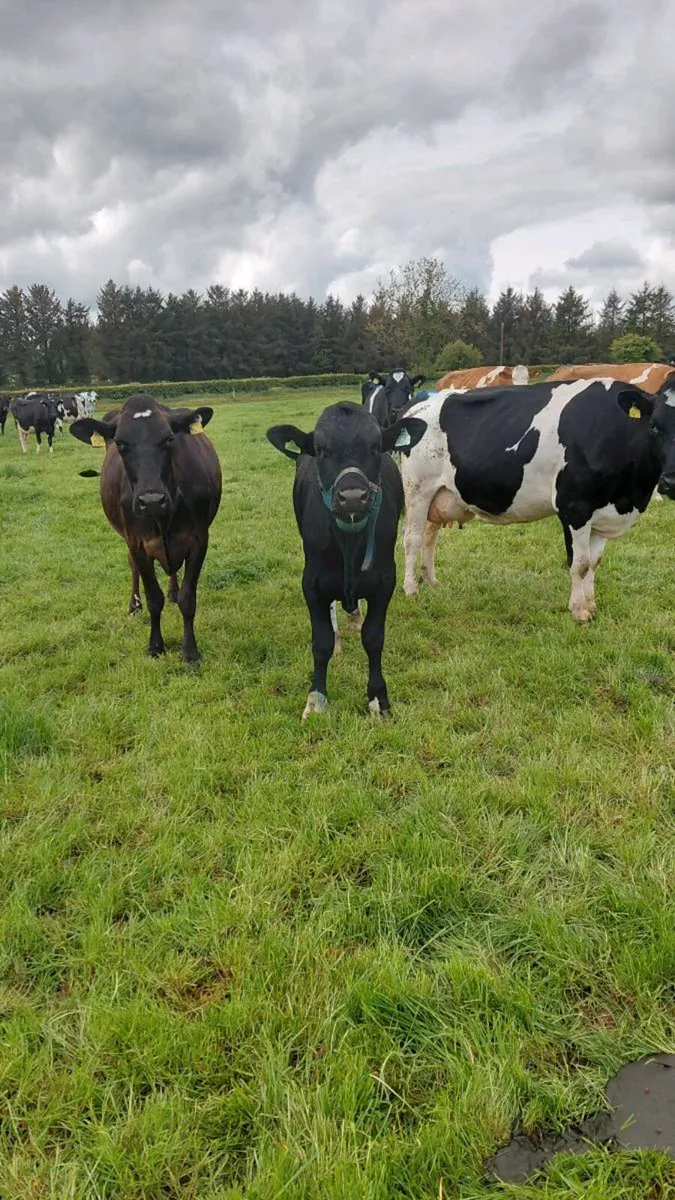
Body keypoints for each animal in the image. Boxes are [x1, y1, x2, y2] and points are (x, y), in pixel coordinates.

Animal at [70, 395, 222, 662]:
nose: (151, 500)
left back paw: (172, 593)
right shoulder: (137, 542)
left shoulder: (199, 539)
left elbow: (188, 598)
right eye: (120, 443)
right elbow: (153, 598)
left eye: (170, 438)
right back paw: (134, 605)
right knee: (133, 567)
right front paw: (155, 646)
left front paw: (190, 651)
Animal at [267, 401, 427, 719]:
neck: (350, 544)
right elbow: (321, 642)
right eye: (321, 449)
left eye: (376, 447)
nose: (352, 497)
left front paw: (378, 700)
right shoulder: (312, 583)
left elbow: (373, 639)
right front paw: (316, 700)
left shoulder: (384, 581)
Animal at [399, 378, 675, 624]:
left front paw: (591, 605)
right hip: (417, 489)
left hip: (441, 496)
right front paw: (579, 612)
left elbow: (594, 563)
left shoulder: (602, 513)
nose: (670, 480)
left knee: (430, 536)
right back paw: (411, 589)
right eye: (653, 426)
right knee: (412, 538)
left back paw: (431, 581)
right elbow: (580, 563)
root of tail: (420, 402)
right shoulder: (574, 508)